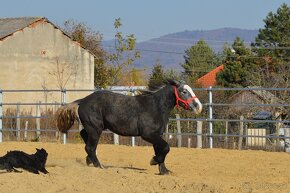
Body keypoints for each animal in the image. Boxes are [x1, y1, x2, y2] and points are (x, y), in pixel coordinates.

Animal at [55, 79, 202, 174]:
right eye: (184, 91)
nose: (198, 106)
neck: (155, 107)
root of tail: (82, 101)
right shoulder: (148, 134)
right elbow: (165, 147)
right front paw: (153, 161)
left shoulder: (157, 135)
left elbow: (161, 149)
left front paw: (164, 170)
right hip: (95, 129)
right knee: (90, 147)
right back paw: (100, 166)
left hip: (93, 128)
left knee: (86, 140)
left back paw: (89, 161)